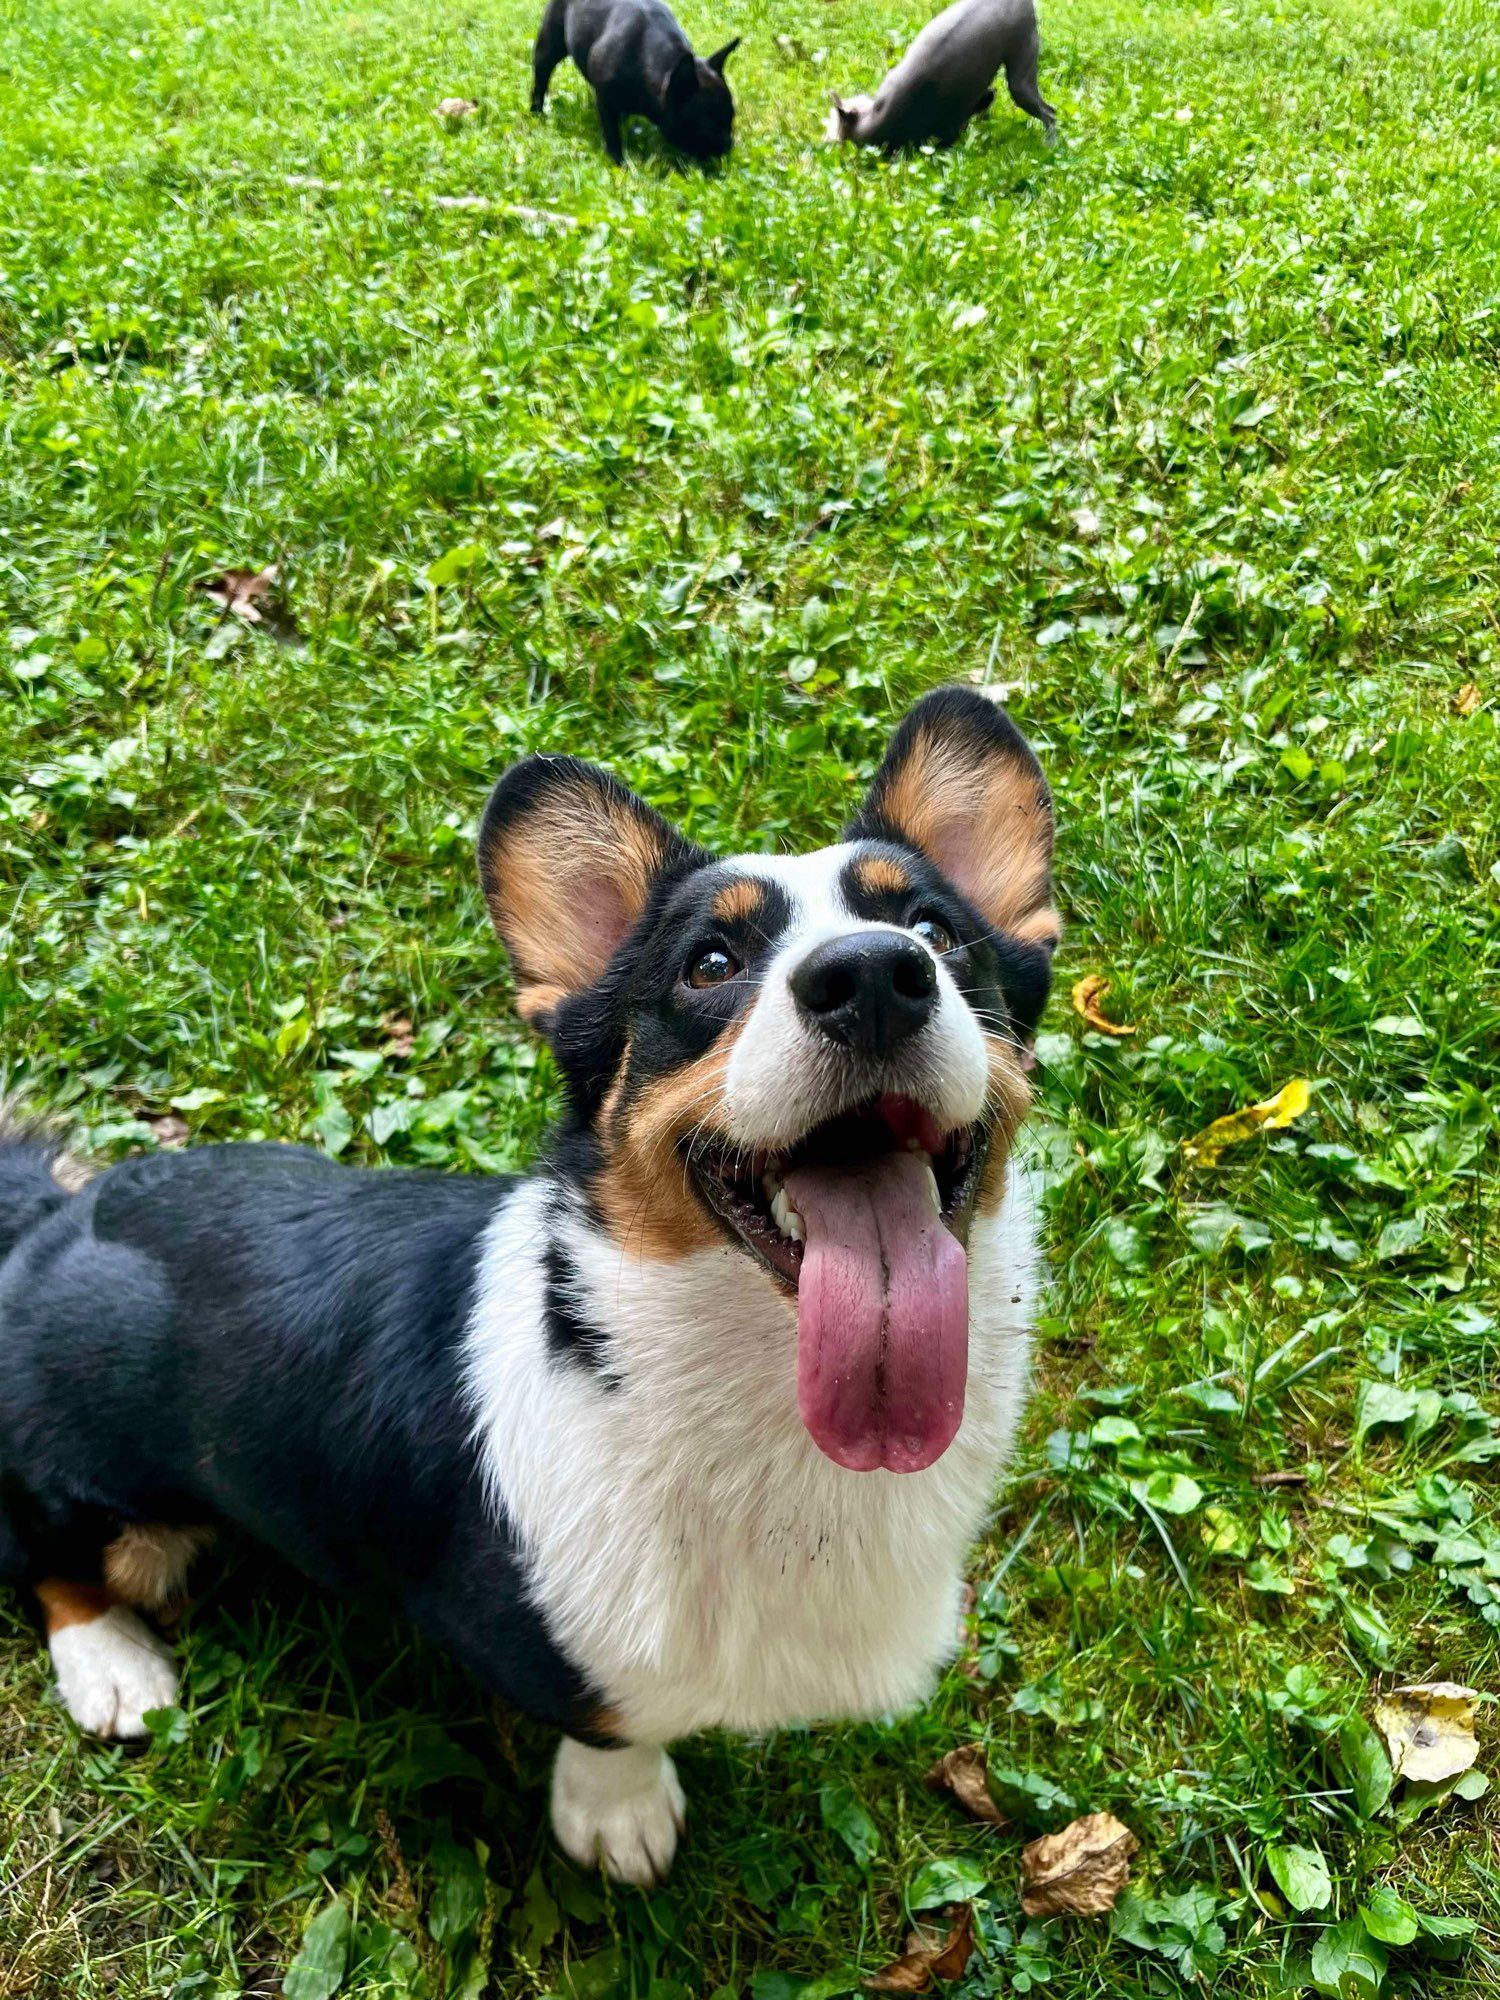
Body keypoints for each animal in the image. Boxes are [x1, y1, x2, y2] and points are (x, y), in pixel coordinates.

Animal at [536, 0, 748, 164]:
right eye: (707, 126)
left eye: (731, 117)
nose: (728, 144)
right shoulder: (605, 101)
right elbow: (612, 133)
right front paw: (618, 162)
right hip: (549, 45)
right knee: (541, 77)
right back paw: (536, 112)